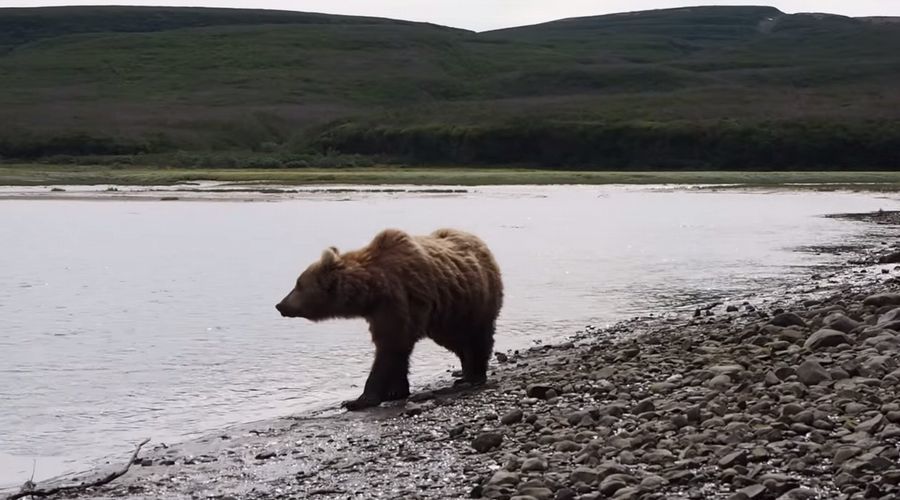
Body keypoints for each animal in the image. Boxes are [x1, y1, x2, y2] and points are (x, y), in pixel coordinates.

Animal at [274, 227, 502, 410]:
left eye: (298, 284)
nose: (280, 305)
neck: (372, 292)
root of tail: (481, 243)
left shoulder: (396, 302)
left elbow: (389, 349)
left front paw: (358, 400)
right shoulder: (382, 313)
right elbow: (396, 350)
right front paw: (396, 391)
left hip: (475, 301)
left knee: (477, 336)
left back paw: (475, 376)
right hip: (448, 314)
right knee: (457, 340)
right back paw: (465, 374)